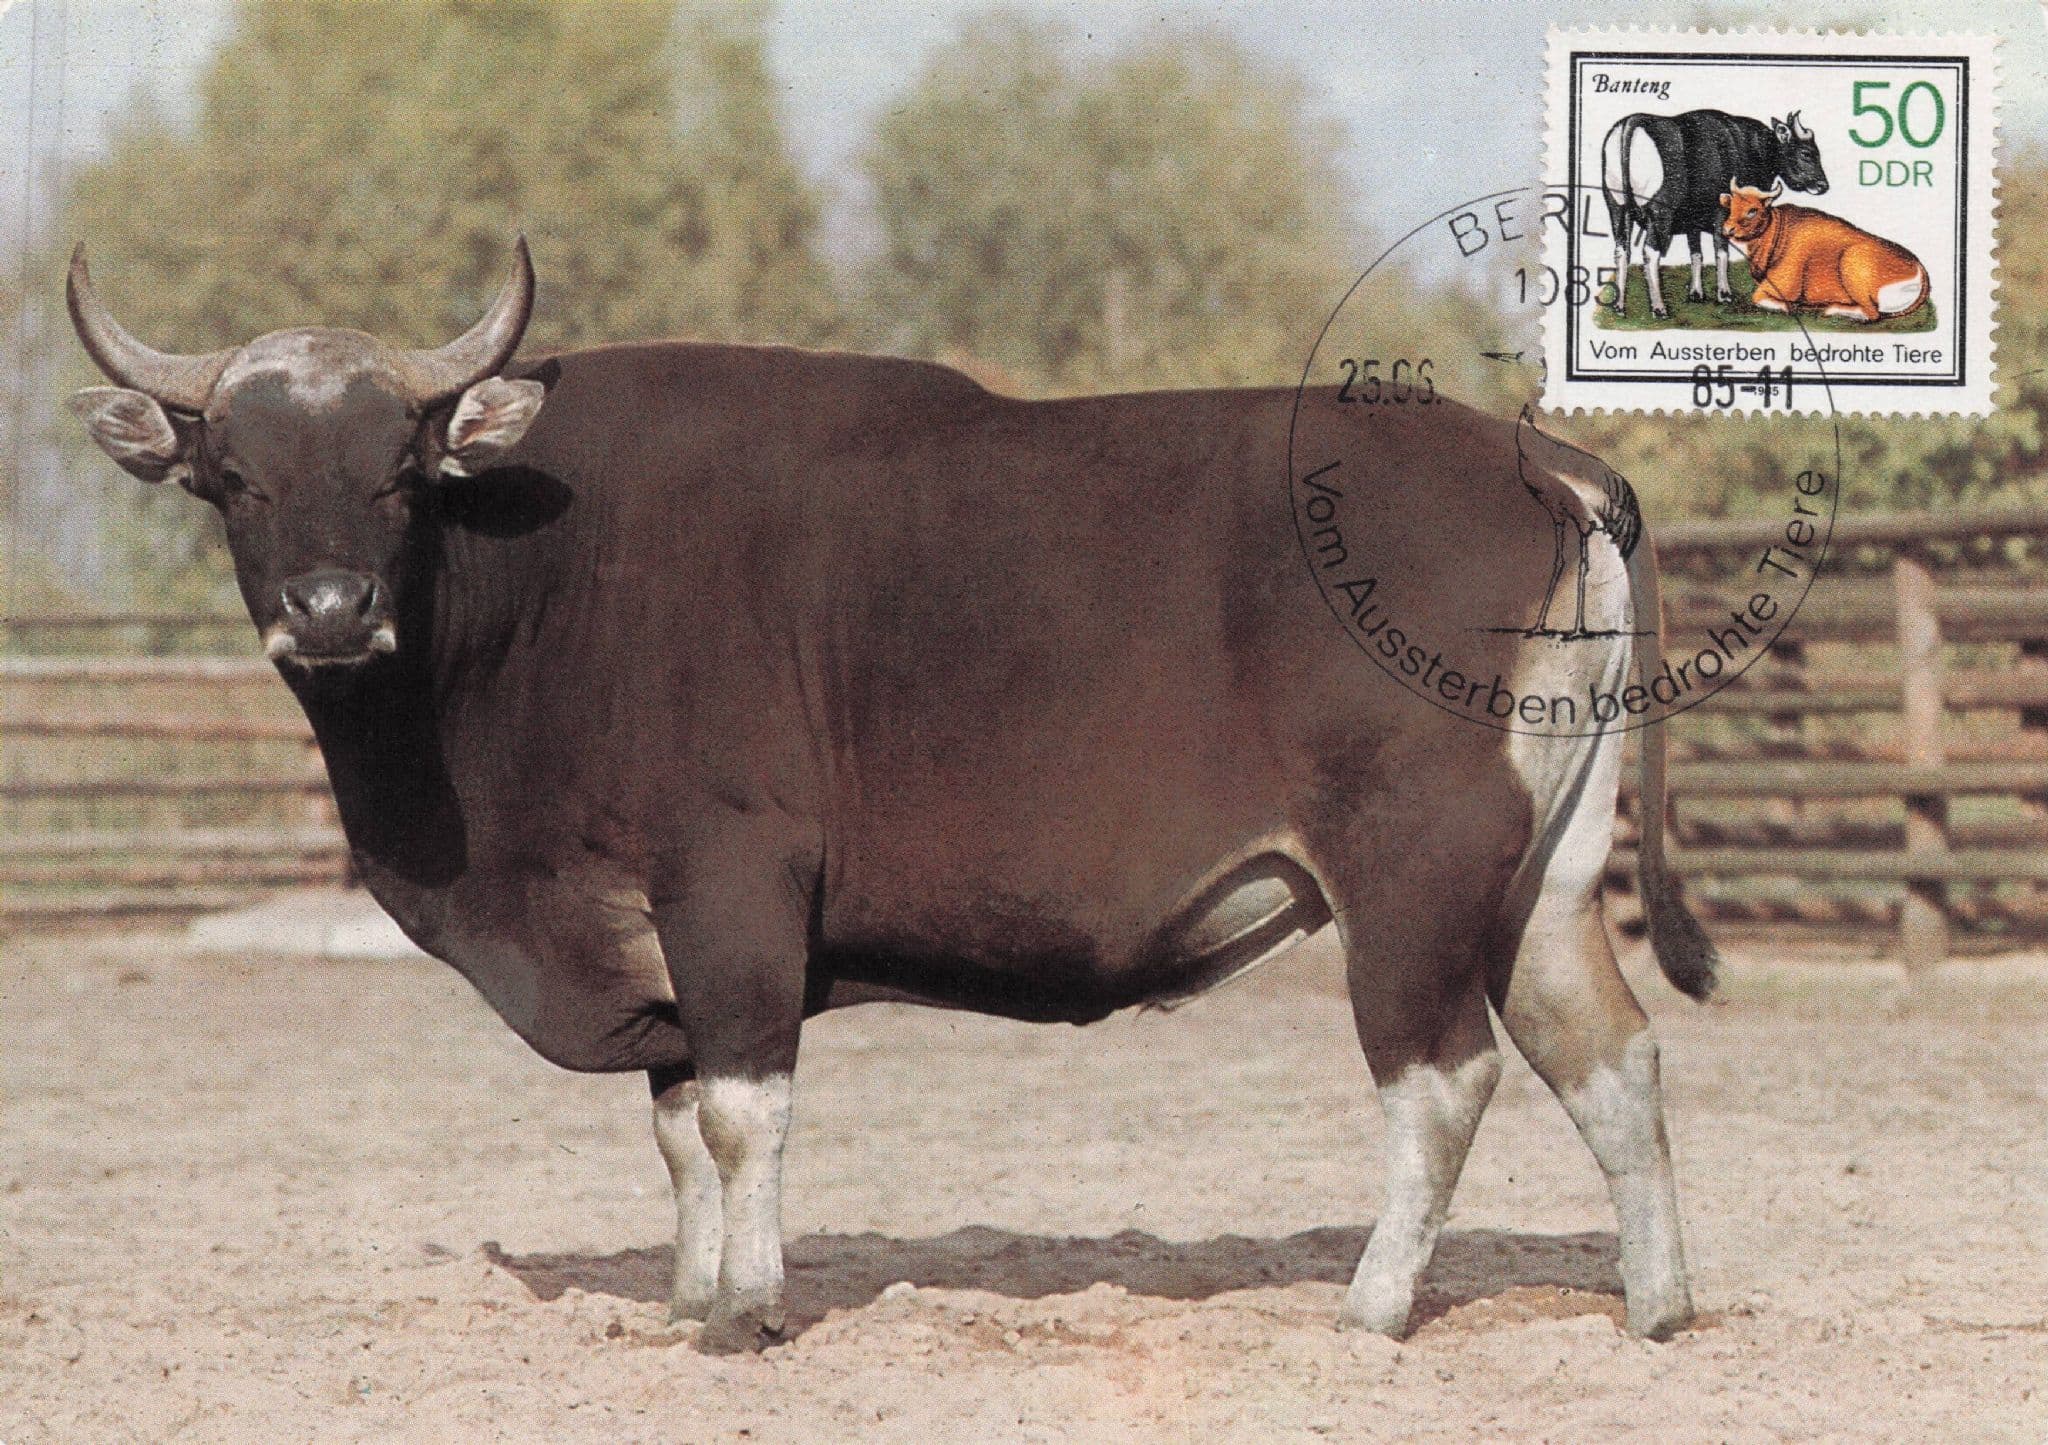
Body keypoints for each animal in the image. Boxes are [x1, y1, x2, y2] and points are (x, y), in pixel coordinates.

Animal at [66, 239, 1718, 1354]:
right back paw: (1658, 1304)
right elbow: (679, 1126)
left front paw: (745, 1309)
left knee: (1442, 1078)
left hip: (1411, 874)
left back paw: (1373, 1305)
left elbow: (745, 1113)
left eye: (400, 467)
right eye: (233, 473)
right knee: (1612, 1056)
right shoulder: (655, 943)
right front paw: (685, 1294)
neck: (536, 583)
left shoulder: (729, 889)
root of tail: (1549, 466)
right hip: (1544, 880)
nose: (332, 611)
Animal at [1602, 108, 1830, 317]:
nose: (1823, 185)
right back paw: (1659, 308)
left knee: (1622, 251)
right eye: (1806, 153)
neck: (1747, 147)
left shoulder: (1691, 222)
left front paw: (1696, 293)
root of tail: (1631, 123)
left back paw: (1619, 306)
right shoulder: (1722, 213)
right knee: (1650, 253)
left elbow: (1696, 254)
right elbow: (1721, 251)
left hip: (1617, 210)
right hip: (1659, 215)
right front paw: (1724, 293)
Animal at [1720, 180, 1930, 322]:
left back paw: (1831, 309)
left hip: (1852, 264)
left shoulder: (1778, 287)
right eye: (1731, 206)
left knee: (1872, 314)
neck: (1777, 231)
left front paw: (1793, 307)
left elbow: (1758, 298)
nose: (1727, 229)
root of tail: (1919, 269)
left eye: (1752, 210)